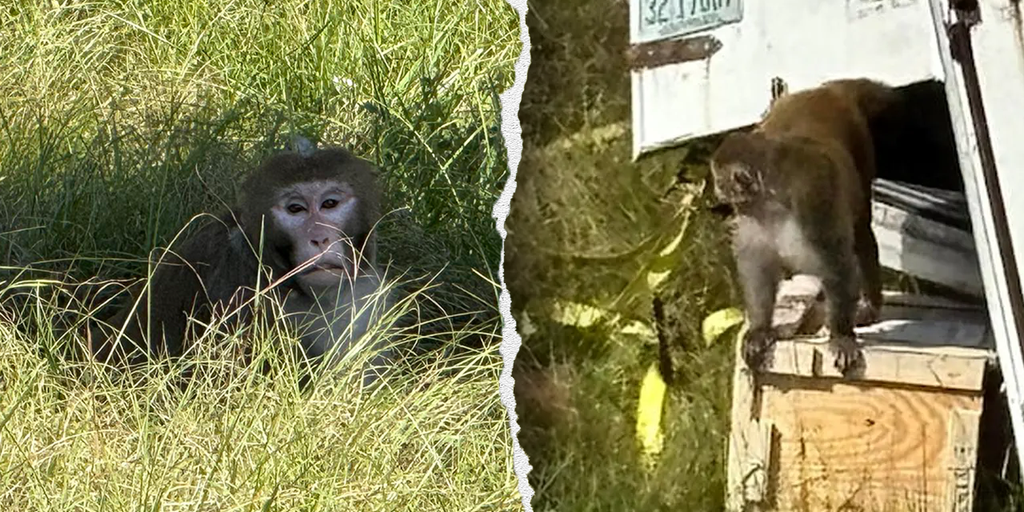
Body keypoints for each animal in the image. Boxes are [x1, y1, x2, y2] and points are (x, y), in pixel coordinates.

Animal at [709, 78, 900, 377]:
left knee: (860, 232)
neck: (772, 199)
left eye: (720, 181)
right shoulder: (752, 218)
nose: (717, 191)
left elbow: (836, 261)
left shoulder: (812, 199)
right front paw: (760, 328)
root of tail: (824, 90)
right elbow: (758, 267)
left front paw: (841, 335)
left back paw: (870, 305)